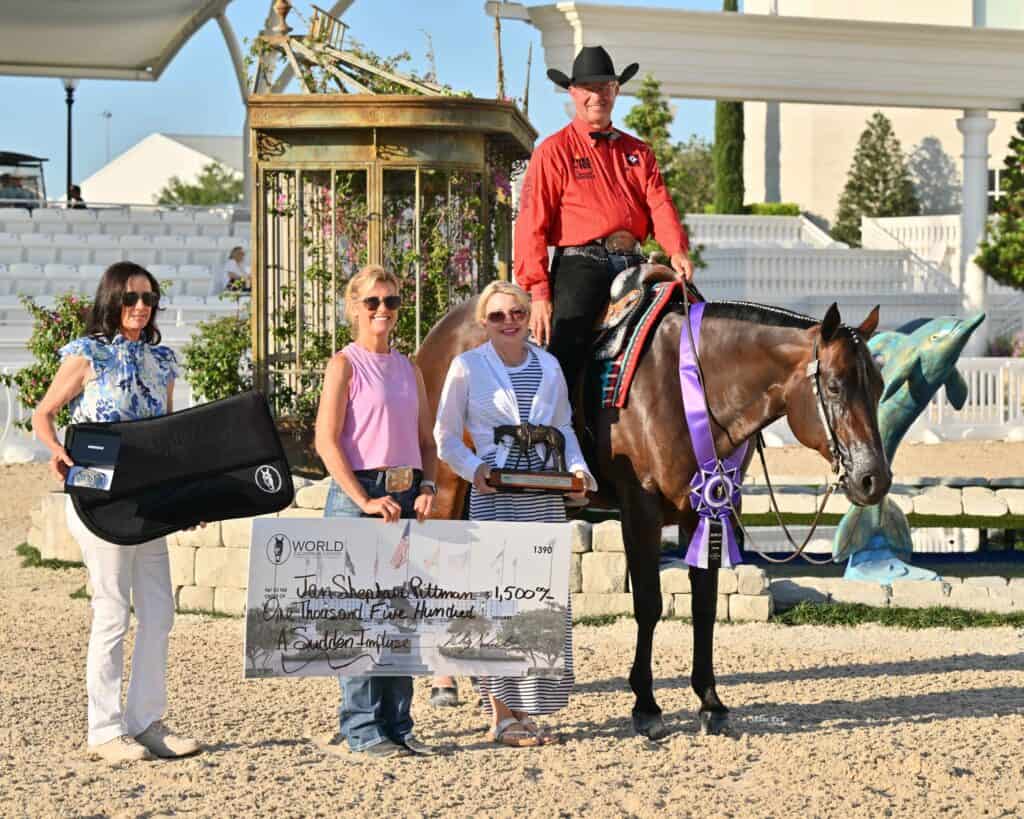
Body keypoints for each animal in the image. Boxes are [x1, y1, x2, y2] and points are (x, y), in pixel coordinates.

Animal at [417, 285, 891, 738]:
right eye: (834, 385)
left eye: (881, 386)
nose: (874, 479)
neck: (688, 387)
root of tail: (442, 331)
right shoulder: (640, 512)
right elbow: (648, 603)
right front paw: (646, 706)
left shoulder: (709, 511)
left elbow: (704, 605)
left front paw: (710, 702)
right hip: (448, 485)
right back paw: (446, 684)